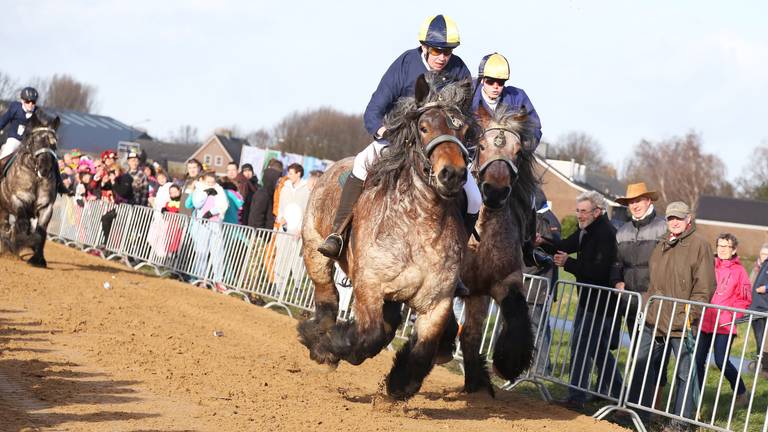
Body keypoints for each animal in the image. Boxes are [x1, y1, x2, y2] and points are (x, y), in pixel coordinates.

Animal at [0, 111, 60, 266]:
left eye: (54, 144)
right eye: (35, 141)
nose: (45, 169)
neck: (36, 177)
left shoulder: (46, 207)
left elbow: (41, 232)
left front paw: (37, 259)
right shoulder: (18, 199)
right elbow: (22, 224)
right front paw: (22, 242)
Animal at [298, 73, 474, 398]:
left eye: (464, 130)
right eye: (424, 127)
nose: (453, 174)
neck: (419, 223)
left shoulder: (437, 303)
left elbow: (422, 350)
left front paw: (399, 385)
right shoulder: (370, 287)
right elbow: (369, 335)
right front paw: (328, 347)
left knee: (391, 323)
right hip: (314, 250)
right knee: (328, 296)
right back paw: (316, 335)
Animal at [452, 104, 536, 394]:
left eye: (518, 151)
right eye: (481, 145)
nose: (496, 191)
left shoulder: (504, 281)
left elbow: (517, 313)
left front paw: (508, 362)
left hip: (477, 295)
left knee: (471, 334)